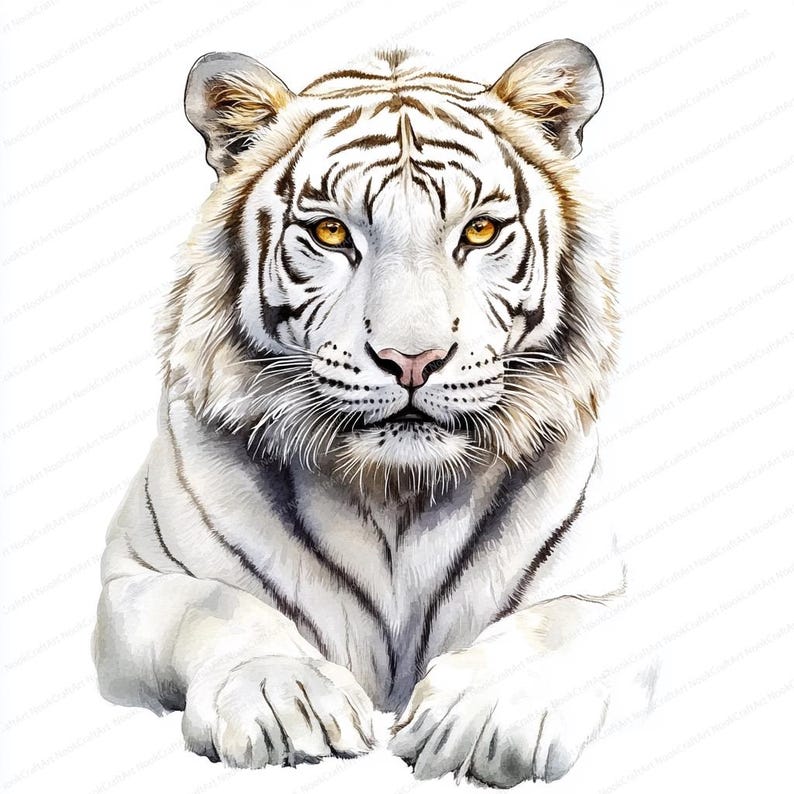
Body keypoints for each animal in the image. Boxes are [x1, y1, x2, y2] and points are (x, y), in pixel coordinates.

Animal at [92, 40, 655, 786]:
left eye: (479, 230)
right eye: (332, 232)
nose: (412, 360)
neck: (397, 493)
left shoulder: (605, 595)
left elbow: (554, 629)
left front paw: (482, 716)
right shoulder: (137, 582)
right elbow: (218, 605)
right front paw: (284, 697)